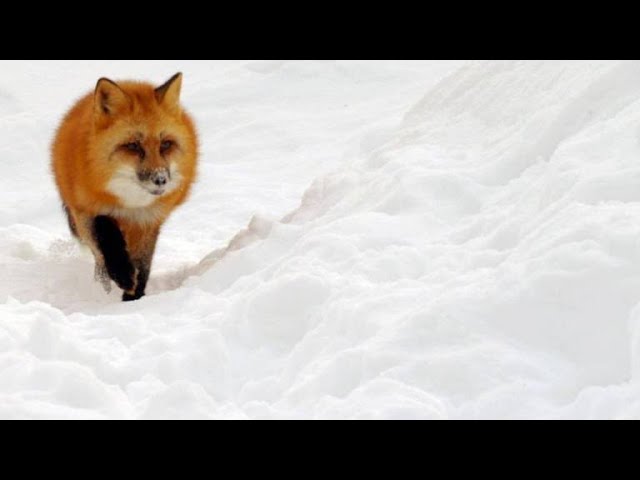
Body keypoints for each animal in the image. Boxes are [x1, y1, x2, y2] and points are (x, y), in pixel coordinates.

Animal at [51, 73, 198, 301]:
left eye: (165, 144)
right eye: (133, 146)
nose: (160, 179)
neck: (131, 205)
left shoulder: (149, 220)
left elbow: (143, 265)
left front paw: (134, 298)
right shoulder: (86, 210)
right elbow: (106, 236)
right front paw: (122, 275)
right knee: (99, 256)